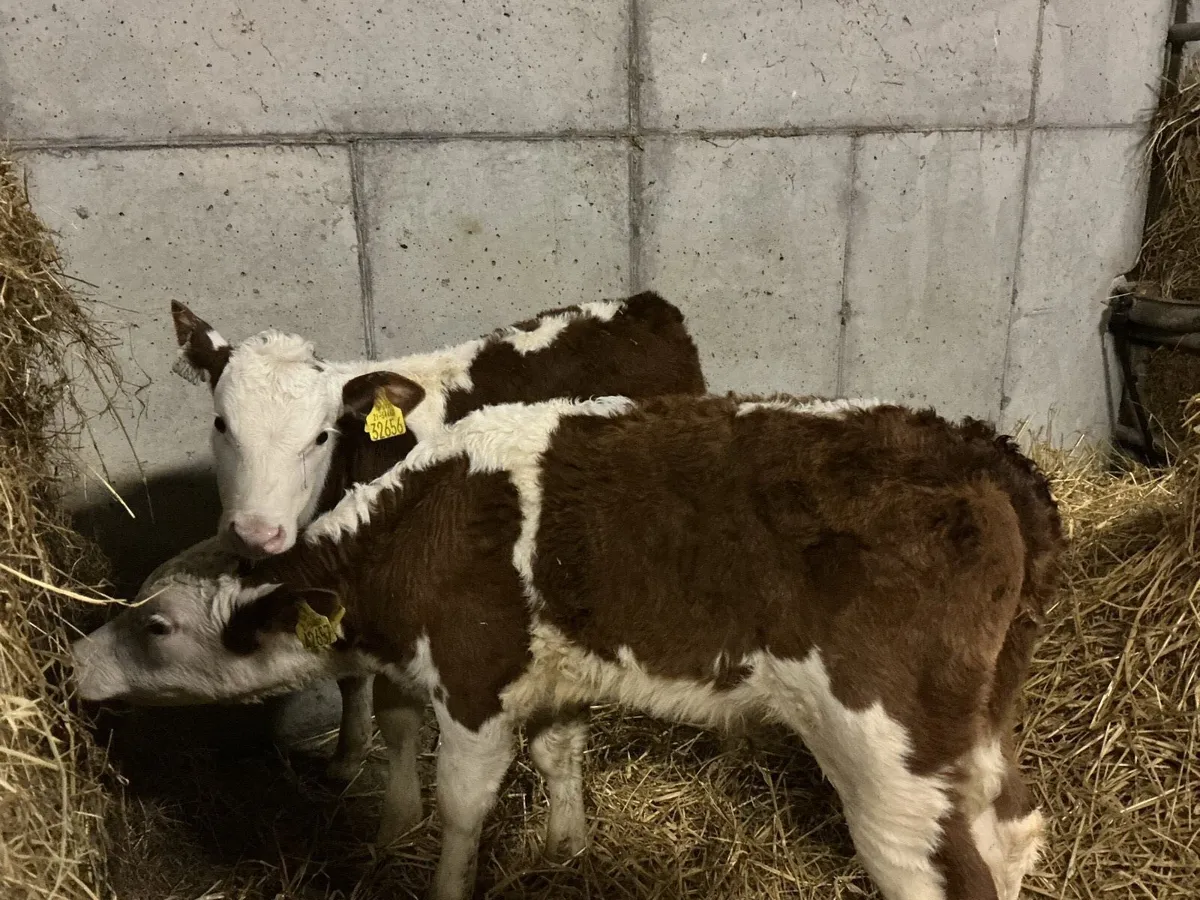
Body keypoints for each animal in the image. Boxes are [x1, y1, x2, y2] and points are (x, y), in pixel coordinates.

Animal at [71, 393, 1062, 900]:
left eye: (155, 625)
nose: (73, 662)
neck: (418, 528)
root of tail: (979, 451)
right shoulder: (555, 673)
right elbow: (560, 756)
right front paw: (568, 847)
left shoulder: (474, 678)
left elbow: (463, 804)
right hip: (974, 719)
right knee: (1012, 826)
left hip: (884, 751)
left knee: (941, 871)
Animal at [170, 292, 706, 791]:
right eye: (221, 423)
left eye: (321, 437)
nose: (256, 532)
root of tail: (641, 305)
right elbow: (349, 677)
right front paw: (345, 759)